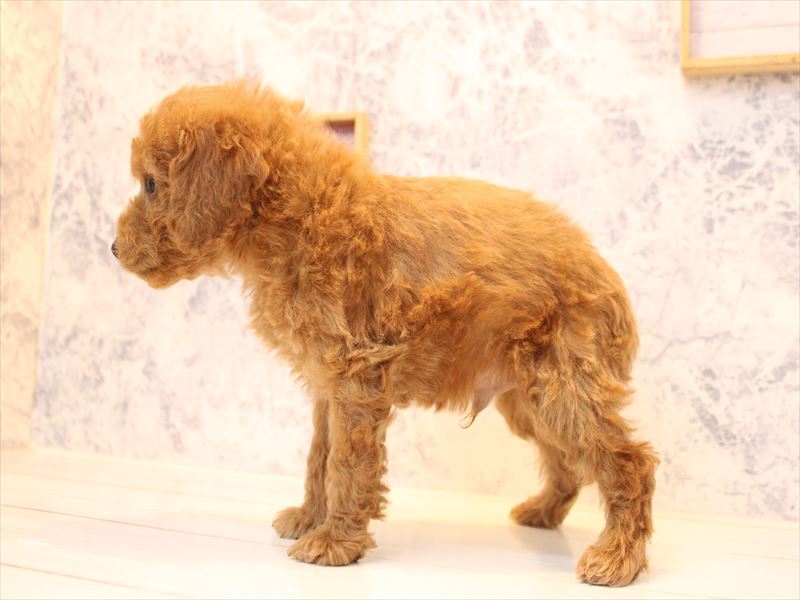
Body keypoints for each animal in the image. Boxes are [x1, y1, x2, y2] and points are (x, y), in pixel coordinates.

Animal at [113, 82, 657, 586]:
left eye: (151, 185)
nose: (114, 248)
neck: (301, 211)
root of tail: (606, 273)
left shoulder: (356, 378)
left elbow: (346, 464)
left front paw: (334, 542)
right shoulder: (328, 384)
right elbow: (319, 456)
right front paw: (309, 518)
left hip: (565, 384)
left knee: (628, 460)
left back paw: (617, 558)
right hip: (528, 399)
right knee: (567, 461)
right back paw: (542, 513)